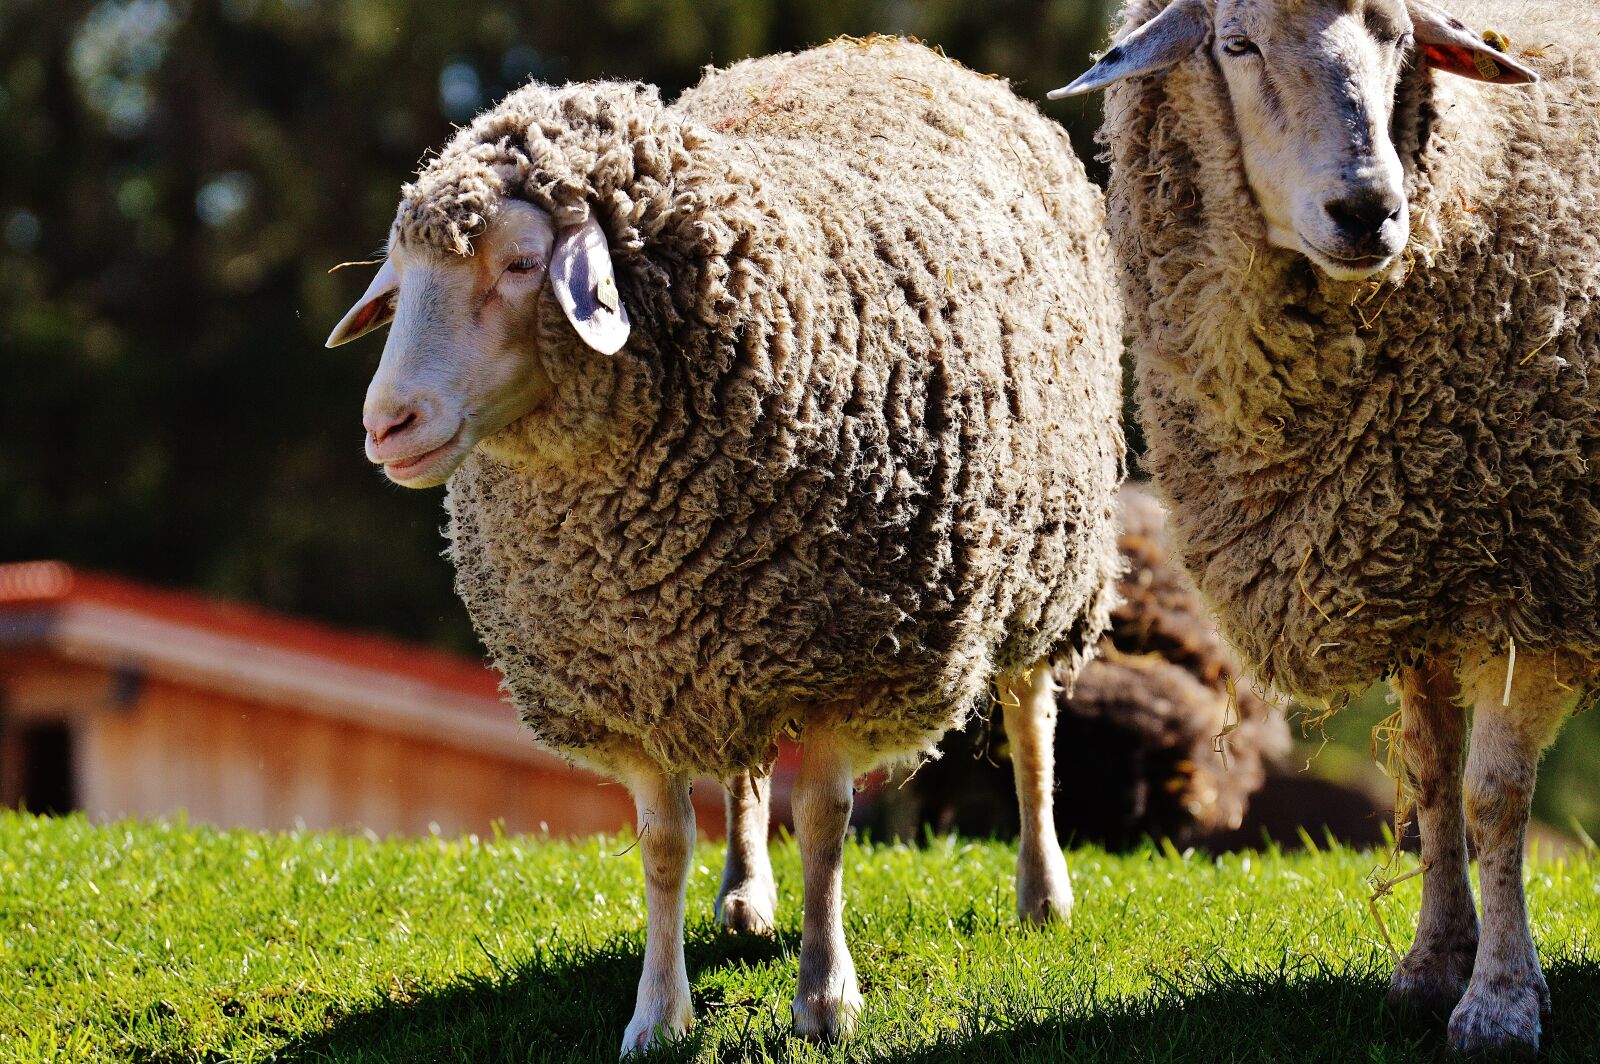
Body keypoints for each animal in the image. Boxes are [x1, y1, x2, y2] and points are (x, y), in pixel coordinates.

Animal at [327, 36, 1124, 1054]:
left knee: (1030, 722)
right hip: (734, 646)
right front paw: (657, 1013)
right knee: (745, 773)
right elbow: (665, 844)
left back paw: (1042, 890)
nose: (385, 425)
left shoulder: (849, 663)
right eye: (401, 272)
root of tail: (901, 49)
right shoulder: (640, 679)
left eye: (520, 262)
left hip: (1051, 569)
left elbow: (824, 821)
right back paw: (745, 896)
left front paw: (826, 997)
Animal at [1051, 0, 1599, 1053]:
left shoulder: (1532, 577)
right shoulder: (1419, 567)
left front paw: (1499, 1001)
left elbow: (1495, 797)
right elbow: (1432, 778)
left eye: (1398, 40)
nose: (1370, 209)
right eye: (1236, 43)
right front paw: (1432, 967)